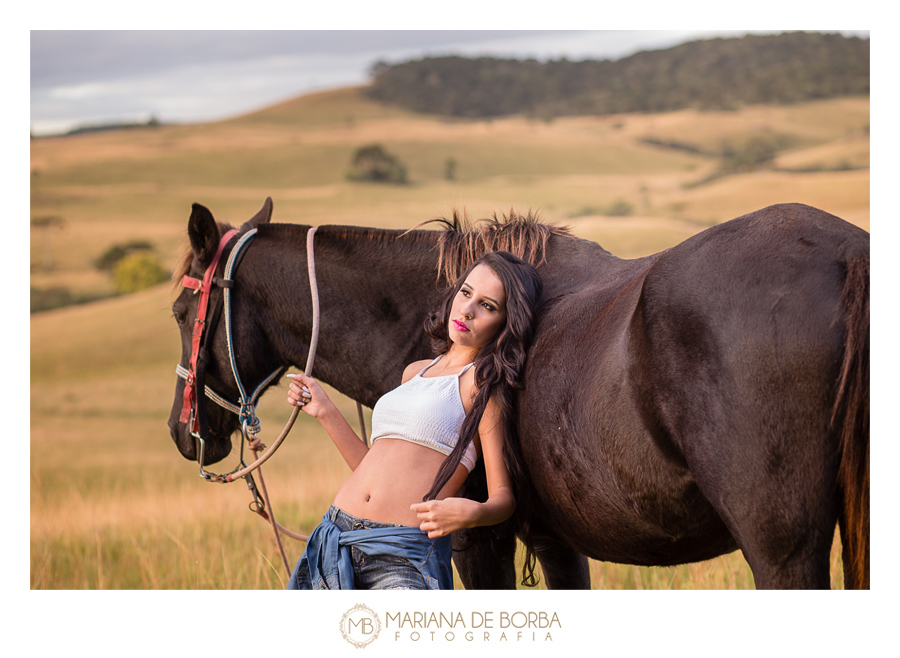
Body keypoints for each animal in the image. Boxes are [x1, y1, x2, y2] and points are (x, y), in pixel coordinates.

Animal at [167, 200, 864, 588]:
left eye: (179, 311)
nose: (183, 432)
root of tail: (846, 254)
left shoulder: (476, 542)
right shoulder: (557, 541)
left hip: (783, 550)